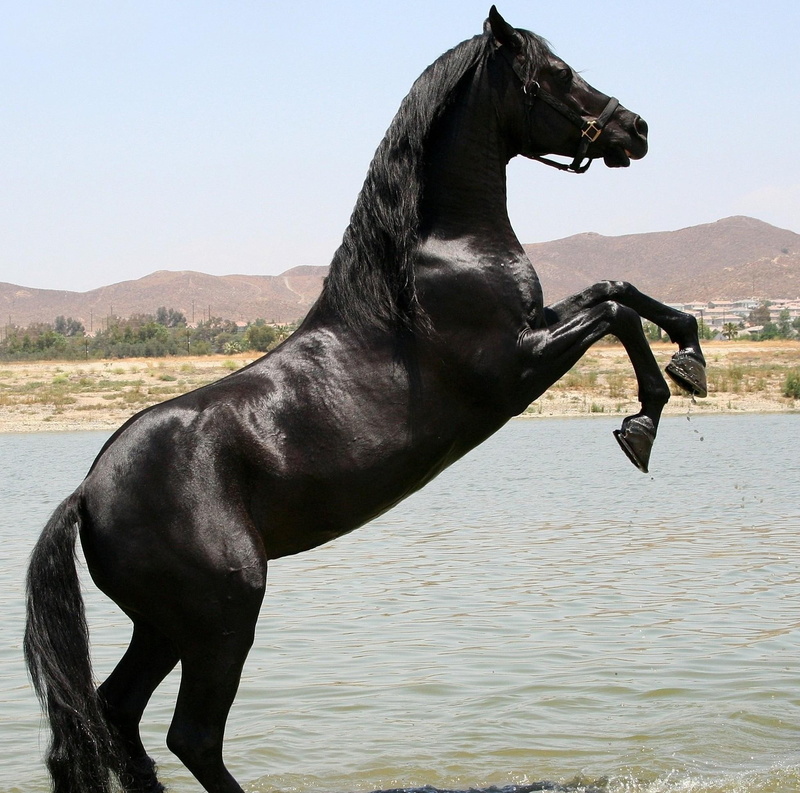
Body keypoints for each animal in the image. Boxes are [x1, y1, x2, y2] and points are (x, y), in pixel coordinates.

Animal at [25, 8, 707, 793]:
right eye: (558, 73)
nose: (636, 127)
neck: (439, 253)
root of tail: (87, 491)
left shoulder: (537, 327)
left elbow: (617, 289)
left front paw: (691, 351)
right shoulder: (516, 365)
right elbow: (616, 313)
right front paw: (645, 418)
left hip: (164, 627)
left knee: (116, 716)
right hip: (221, 618)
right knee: (190, 735)